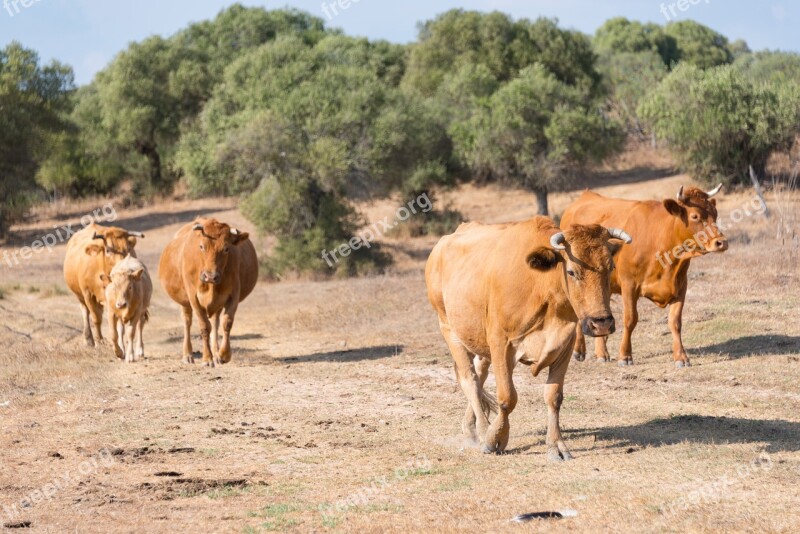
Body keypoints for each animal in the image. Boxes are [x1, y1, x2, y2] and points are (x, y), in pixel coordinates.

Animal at [156, 219, 256, 368]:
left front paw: (223, 355)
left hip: (218, 303)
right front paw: (207, 358)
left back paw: (216, 354)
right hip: (184, 302)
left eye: (226, 248)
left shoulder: (233, 295)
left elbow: (227, 323)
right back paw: (188, 355)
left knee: (215, 322)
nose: (210, 276)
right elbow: (204, 326)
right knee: (187, 322)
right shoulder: (193, 298)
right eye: (201, 246)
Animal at [424, 217, 632, 460]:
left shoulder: (565, 345)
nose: (602, 323)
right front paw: (495, 439)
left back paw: (470, 427)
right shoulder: (501, 344)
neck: (542, 288)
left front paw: (556, 446)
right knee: (470, 379)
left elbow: (554, 396)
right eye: (572, 272)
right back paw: (483, 430)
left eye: (611, 267)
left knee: (480, 373)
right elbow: (507, 398)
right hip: (448, 328)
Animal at [560, 185, 728, 368]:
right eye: (695, 216)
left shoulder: (681, 286)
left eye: (716, 214)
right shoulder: (629, 285)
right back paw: (579, 350)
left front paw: (681, 357)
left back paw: (601, 353)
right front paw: (625, 356)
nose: (722, 242)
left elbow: (675, 322)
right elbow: (630, 320)